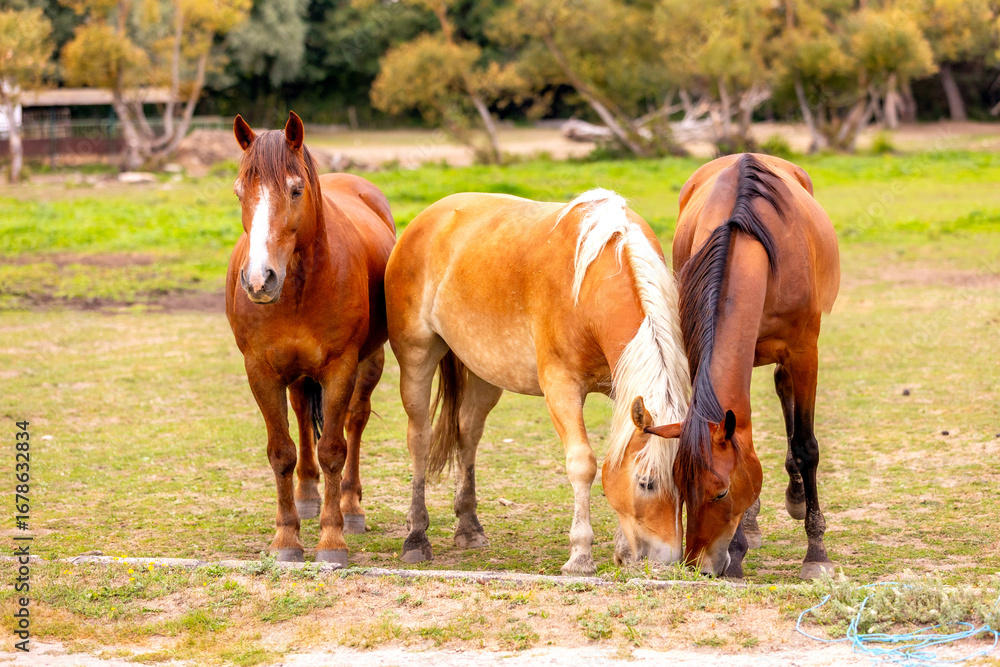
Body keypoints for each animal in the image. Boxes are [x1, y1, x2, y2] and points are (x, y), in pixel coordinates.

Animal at [226, 111, 396, 565]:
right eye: (239, 191)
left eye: (295, 189)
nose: (259, 280)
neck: (298, 287)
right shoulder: (261, 370)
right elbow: (281, 451)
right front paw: (286, 538)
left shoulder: (340, 367)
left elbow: (334, 450)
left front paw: (332, 540)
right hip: (298, 373)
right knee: (302, 415)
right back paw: (305, 496)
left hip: (369, 363)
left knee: (355, 422)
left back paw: (351, 507)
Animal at [384, 189, 691, 575]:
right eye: (646, 483)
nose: (668, 561)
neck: (591, 281)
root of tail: (426, 218)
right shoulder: (561, 387)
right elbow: (583, 464)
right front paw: (580, 555)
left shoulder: (620, 387)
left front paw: (621, 548)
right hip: (417, 358)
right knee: (419, 439)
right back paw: (416, 536)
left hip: (485, 372)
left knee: (468, 433)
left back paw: (468, 527)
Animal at [643, 153, 840, 579]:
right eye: (681, 489)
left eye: (721, 492)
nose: (698, 565)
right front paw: (738, 547)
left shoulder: (805, 352)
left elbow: (806, 446)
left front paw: (816, 553)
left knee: (785, 390)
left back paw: (797, 499)